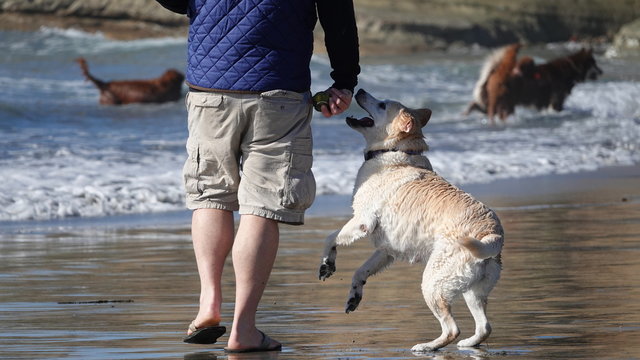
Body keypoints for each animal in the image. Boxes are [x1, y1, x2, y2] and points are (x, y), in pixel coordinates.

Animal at [464, 43, 600, 122]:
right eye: (594, 63)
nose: (601, 71)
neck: (571, 68)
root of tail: (494, 74)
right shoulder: (556, 102)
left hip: (492, 103)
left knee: (475, 105)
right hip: (506, 104)